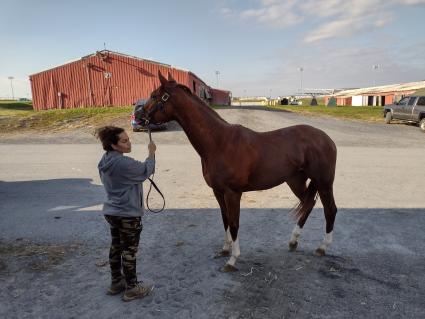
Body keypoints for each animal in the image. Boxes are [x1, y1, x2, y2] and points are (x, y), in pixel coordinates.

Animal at [137, 72, 336, 272]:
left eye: (154, 95)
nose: (138, 116)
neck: (218, 142)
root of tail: (326, 138)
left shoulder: (233, 193)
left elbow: (234, 224)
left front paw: (233, 259)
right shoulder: (218, 192)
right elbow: (225, 219)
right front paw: (225, 249)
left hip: (324, 183)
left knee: (330, 210)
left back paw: (322, 247)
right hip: (295, 181)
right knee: (309, 204)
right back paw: (293, 242)